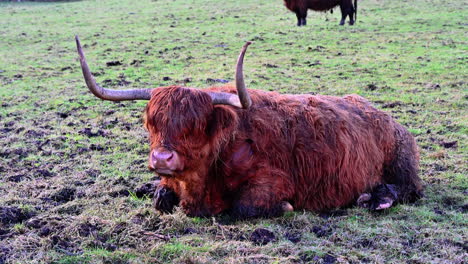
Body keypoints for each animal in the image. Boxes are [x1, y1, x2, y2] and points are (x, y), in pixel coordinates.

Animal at [75, 36, 422, 220]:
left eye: (196, 124)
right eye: (152, 123)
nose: (162, 158)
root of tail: (384, 115)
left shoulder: (275, 180)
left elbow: (245, 206)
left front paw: (282, 207)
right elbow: (160, 197)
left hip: (402, 165)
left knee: (409, 190)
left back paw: (375, 199)